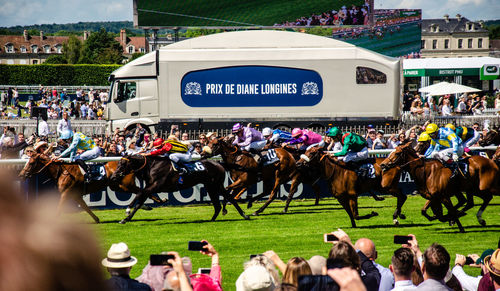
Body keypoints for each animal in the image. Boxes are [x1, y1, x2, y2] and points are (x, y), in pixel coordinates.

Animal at [110, 155, 249, 224]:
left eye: (123, 164)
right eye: (118, 163)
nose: (113, 176)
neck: (152, 166)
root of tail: (219, 164)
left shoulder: (156, 185)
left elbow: (139, 193)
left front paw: (127, 210)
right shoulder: (151, 187)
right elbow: (140, 201)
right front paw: (126, 219)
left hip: (216, 185)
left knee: (229, 198)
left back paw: (245, 215)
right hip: (210, 186)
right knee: (218, 204)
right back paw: (212, 219)